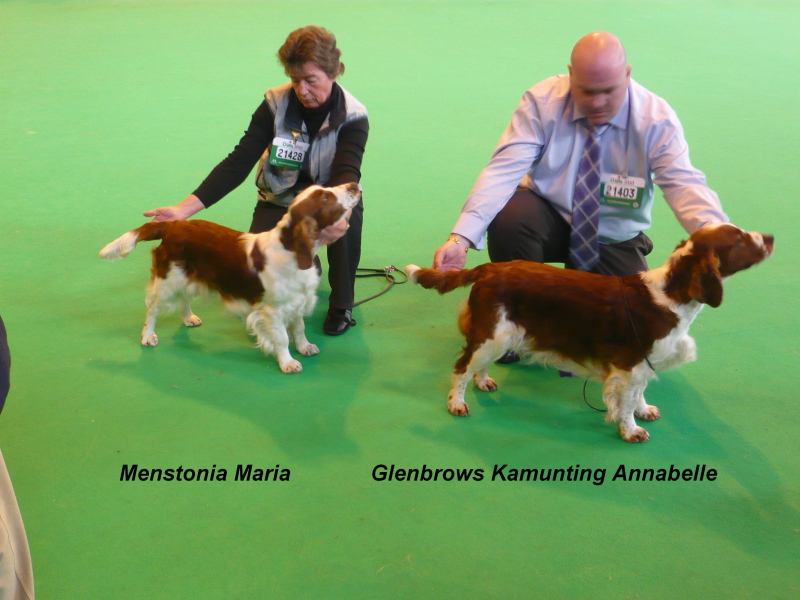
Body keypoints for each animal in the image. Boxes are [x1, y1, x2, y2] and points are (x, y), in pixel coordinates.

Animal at [99, 180, 360, 372]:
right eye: (325, 198)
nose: (354, 184)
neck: (292, 250)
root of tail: (172, 225)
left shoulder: (296, 300)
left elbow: (299, 327)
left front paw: (305, 347)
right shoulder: (272, 310)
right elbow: (282, 338)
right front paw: (288, 363)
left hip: (186, 275)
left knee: (184, 298)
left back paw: (189, 318)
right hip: (168, 280)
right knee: (152, 308)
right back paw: (148, 337)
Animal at [410, 224, 772, 440]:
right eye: (739, 238)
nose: (770, 238)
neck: (673, 295)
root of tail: (488, 268)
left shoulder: (643, 363)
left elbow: (639, 394)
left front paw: (645, 412)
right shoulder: (629, 364)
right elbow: (624, 402)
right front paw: (631, 430)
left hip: (501, 334)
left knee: (478, 365)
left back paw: (484, 382)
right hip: (493, 334)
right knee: (461, 368)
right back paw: (457, 404)